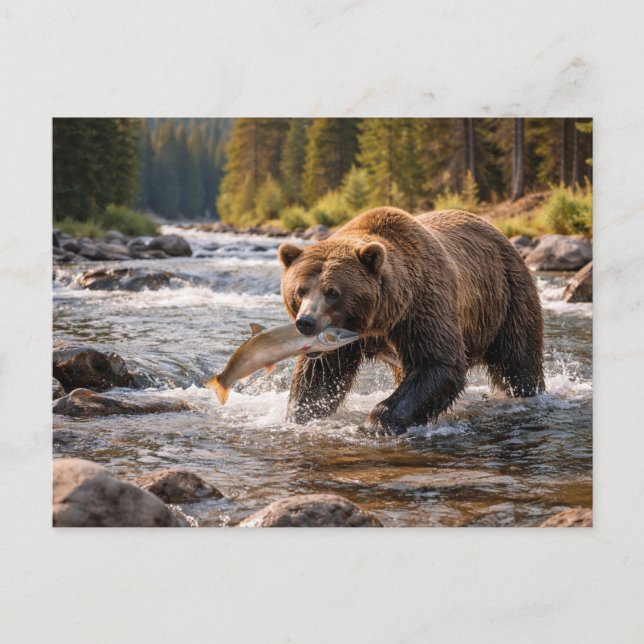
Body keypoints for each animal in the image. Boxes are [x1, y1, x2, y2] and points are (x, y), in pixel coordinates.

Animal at [277, 207, 545, 435]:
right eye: (300, 290)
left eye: (332, 292)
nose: (306, 322)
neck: (380, 319)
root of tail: (498, 232)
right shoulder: (347, 340)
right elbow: (321, 375)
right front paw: (300, 415)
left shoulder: (421, 306)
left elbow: (437, 363)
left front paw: (376, 424)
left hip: (507, 298)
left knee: (518, 361)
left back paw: (527, 393)